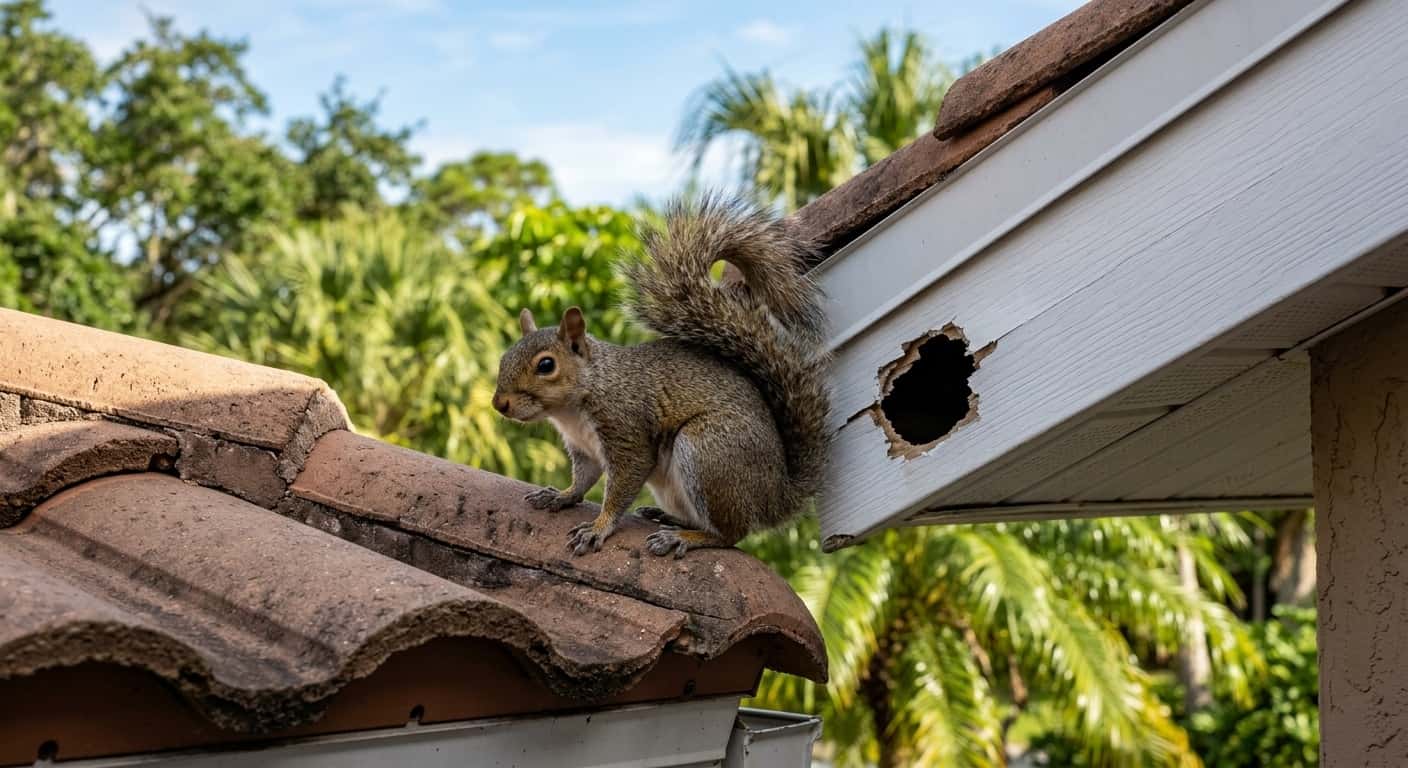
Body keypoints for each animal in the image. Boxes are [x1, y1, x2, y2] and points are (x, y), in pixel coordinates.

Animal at [491, 194, 831, 557]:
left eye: (546, 365)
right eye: (504, 358)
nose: (500, 404)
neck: (577, 403)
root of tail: (777, 496)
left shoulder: (627, 430)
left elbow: (621, 487)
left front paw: (597, 528)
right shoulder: (584, 449)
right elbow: (583, 479)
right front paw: (561, 495)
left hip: (709, 450)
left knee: (731, 534)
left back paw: (683, 538)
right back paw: (667, 518)